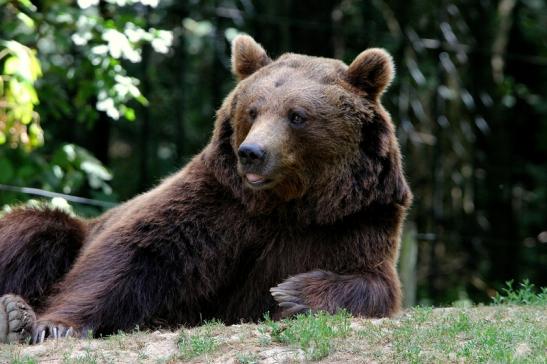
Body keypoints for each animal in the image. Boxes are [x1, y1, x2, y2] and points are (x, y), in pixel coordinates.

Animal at [0, 34, 412, 344]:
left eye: (297, 115)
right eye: (253, 110)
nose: (252, 153)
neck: (288, 203)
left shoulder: (354, 218)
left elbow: (374, 282)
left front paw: (292, 292)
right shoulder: (217, 201)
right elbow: (129, 257)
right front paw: (53, 325)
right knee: (38, 230)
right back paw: (13, 313)